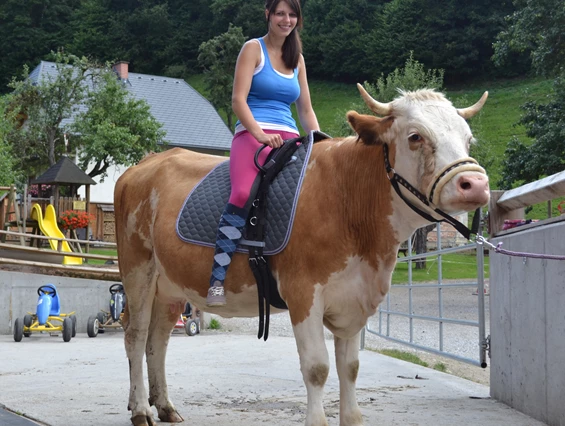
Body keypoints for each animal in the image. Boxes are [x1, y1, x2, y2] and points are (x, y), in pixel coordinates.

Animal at [113, 85, 490, 424]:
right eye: (415, 136)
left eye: (468, 139)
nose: (475, 184)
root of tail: (149, 161)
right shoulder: (303, 293)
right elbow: (317, 368)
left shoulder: (353, 296)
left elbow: (350, 368)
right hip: (138, 270)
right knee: (136, 334)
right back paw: (141, 409)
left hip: (170, 286)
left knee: (158, 340)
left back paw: (164, 406)